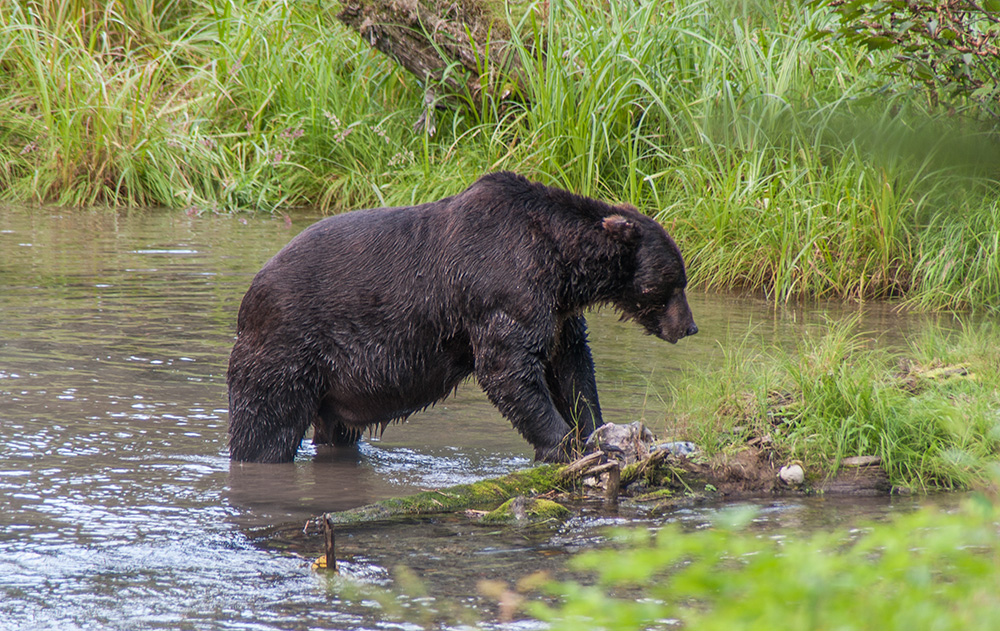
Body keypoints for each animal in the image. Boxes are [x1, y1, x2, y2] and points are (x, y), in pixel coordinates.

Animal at [227, 171, 697, 463]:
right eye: (675, 281)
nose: (689, 326)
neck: (559, 264)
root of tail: (248, 297)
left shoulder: (558, 313)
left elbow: (571, 369)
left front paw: (598, 432)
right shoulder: (501, 290)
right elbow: (508, 369)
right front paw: (563, 446)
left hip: (336, 385)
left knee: (335, 432)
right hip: (290, 350)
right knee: (264, 429)